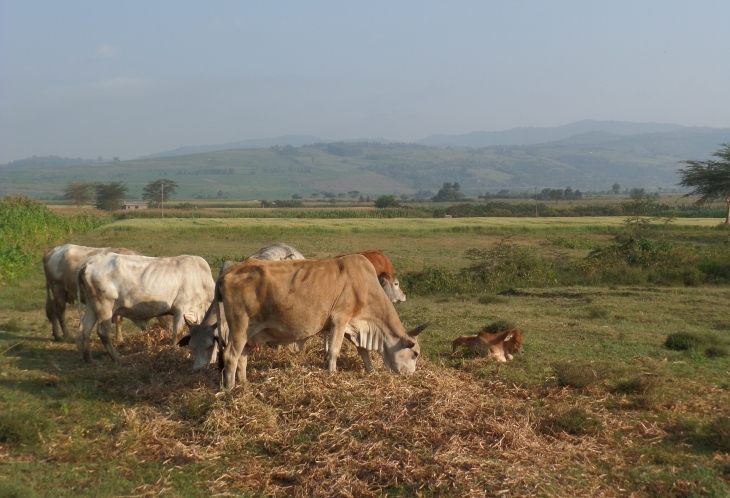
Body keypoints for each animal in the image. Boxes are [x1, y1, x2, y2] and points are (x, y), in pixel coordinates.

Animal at [77, 253, 215, 362]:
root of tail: (89, 262)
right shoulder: (182, 309)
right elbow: (177, 334)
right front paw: (176, 352)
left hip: (92, 306)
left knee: (85, 329)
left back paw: (89, 359)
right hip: (105, 306)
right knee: (103, 331)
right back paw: (116, 357)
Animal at [213, 253, 426, 390]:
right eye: (415, 354)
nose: (411, 375)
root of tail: (227, 273)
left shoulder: (353, 326)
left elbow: (362, 351)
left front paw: (370, 371)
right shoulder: (340, 319)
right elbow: (333, 351)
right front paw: (332, 375)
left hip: (250, 332)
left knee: (242, 357)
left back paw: (244, 385)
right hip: (240, 328)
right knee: (231, 356)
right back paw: (231, 390)